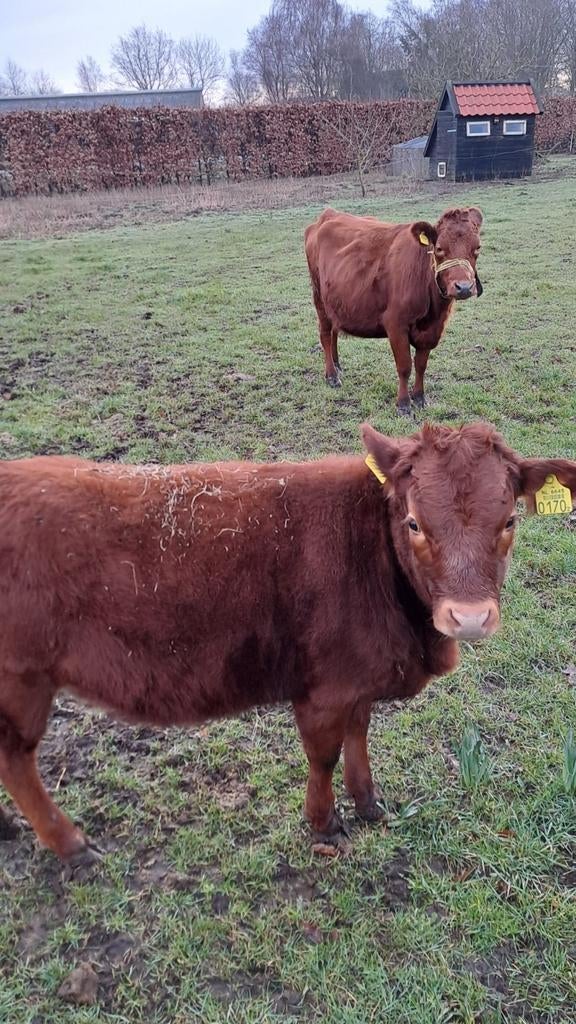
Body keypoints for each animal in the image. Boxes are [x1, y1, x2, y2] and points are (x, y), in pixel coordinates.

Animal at [0, 423, 574, 866]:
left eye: (510, 519)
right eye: (414, 522)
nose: (470, 618)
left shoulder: (357, 677)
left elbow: (359, 735)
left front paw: (369, 804)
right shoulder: (323, 688)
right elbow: (324, 754)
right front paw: (324, 824)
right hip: (21, 681)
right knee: (16, 759)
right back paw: (71, 844)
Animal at [304, 206, 484, 414]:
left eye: (477, 248)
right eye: (439, 248)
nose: (464, 287)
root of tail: (329, 213)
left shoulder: (431, 331)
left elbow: (421, 365)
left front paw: (419, 397)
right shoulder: (396, 325)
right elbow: (405, 366)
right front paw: (404, 403)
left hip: (335, 302)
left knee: (334, 331)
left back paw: (337, 365)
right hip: (319, 298)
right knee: (325, 335)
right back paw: (332, 375)